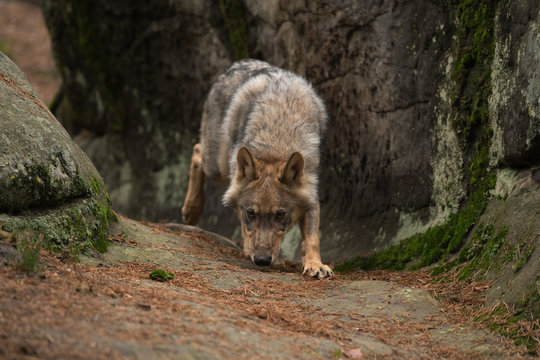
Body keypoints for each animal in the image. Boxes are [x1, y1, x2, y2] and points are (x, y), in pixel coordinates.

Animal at [182, 58, 334, 278]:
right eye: (251, 213)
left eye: (280, 214)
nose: (262, 260)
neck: (277, 139)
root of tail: (240, 63)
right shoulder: (239, 192)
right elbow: (246, 228)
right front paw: (252, 251)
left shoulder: (310, 192)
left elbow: (311, 238)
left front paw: (315, 264)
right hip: (218, 166)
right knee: (197, 151)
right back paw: (191, 210)